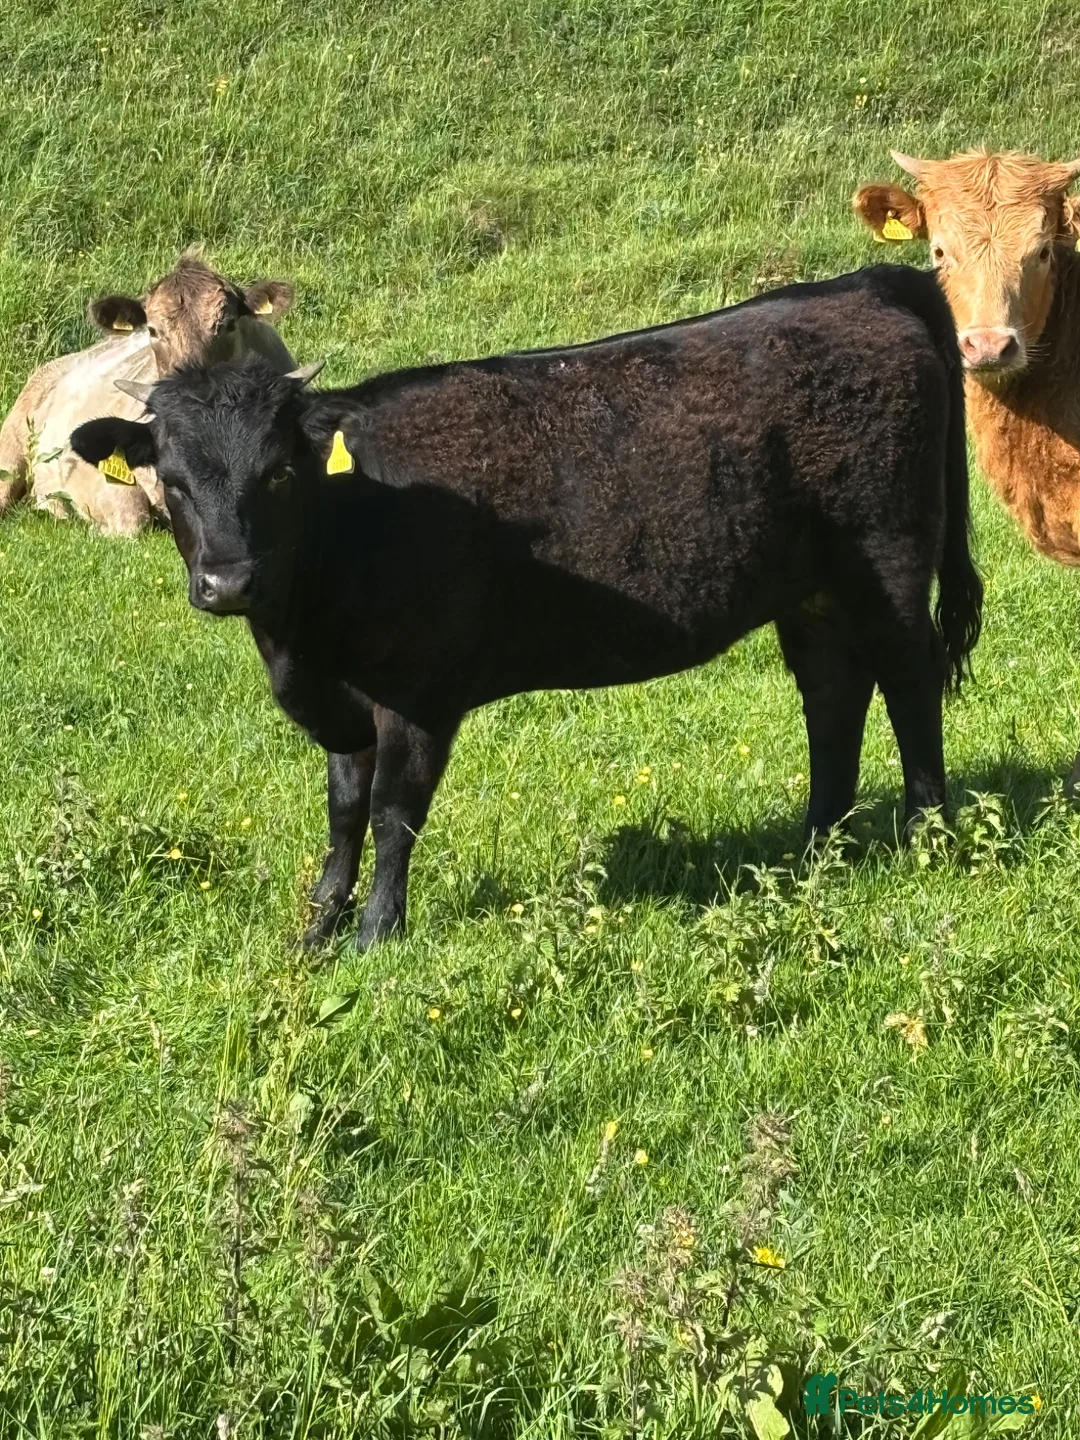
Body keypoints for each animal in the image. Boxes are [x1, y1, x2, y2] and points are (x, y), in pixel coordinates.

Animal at [71, 264, 983, 950]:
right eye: (170, 482)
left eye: (280, 473)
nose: (229, 584)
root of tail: (863, 283)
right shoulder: (342, 706)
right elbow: (342, 813)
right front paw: (319, 929)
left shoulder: (419, 693)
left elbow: (394, 812)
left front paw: (375, 933)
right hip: (814, 590)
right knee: (833, 694)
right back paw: (817, 843)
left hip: (888, 558)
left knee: (911, 682)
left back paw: (927, 833)